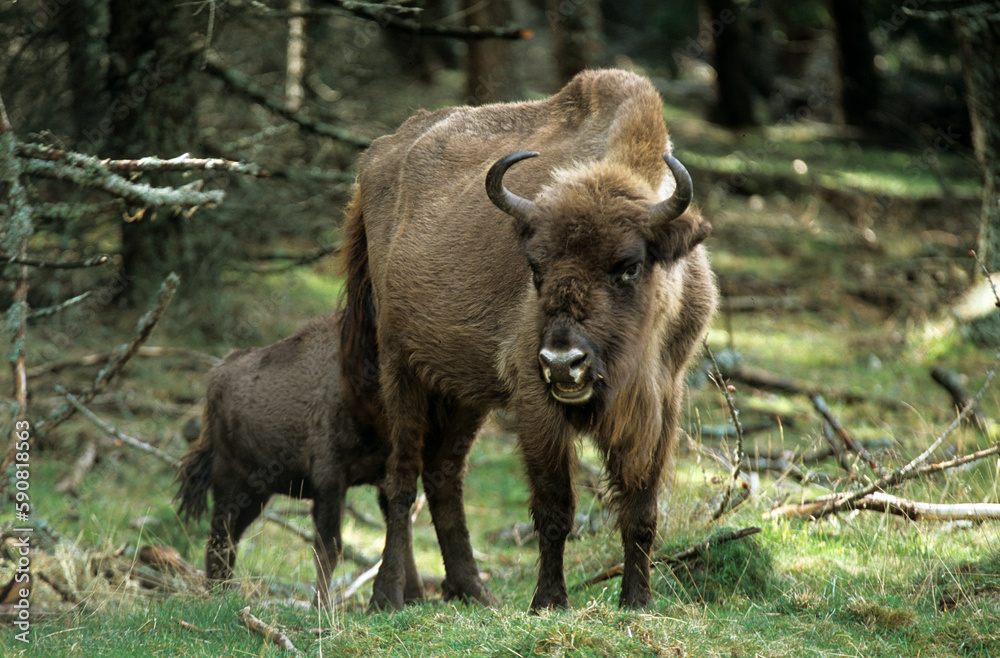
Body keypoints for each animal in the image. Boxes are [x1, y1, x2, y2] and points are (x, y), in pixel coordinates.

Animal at [178, 312, 420, 604]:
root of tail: (217, 375)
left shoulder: (386, 479)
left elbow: (403, 534)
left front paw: (417, 598)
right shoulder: (330, 481)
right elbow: (330, 546)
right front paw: (322, 606)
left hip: (258, 492)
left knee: (230, 536)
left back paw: (222, 590)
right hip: (231, 481)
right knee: (221, 535)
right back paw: (217, 592)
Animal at [340, 68, 716, 608]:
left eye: (629, 266)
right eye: (535, 268)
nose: (563, 362)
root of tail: (376, 157)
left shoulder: (663, 399)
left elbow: (641, 508)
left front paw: (637, 601)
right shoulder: (536, 402)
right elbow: (555, 507)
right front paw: (549, 602)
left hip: (464, 390)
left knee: (444, 474)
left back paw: (473, 591)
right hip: (399, 365)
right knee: (401, 478)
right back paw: (389, 596)